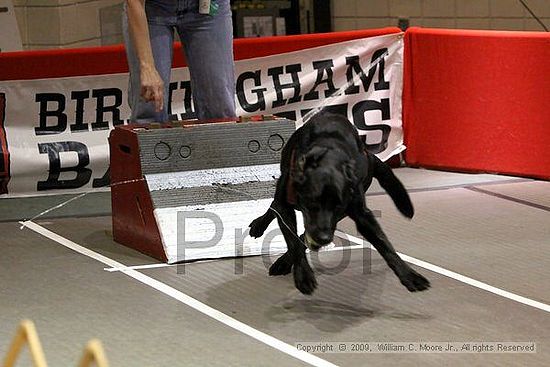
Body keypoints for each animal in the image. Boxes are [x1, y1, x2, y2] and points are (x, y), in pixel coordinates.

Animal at [250, 112, 432, 296]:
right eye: (311, 202)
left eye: (337, 206)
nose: (323, 238)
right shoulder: (286, 205)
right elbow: (292, 239)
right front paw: (303, 275)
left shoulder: (358, 212)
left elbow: (384, 244)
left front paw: (409, 275)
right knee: (275, 207)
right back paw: (259, 227)